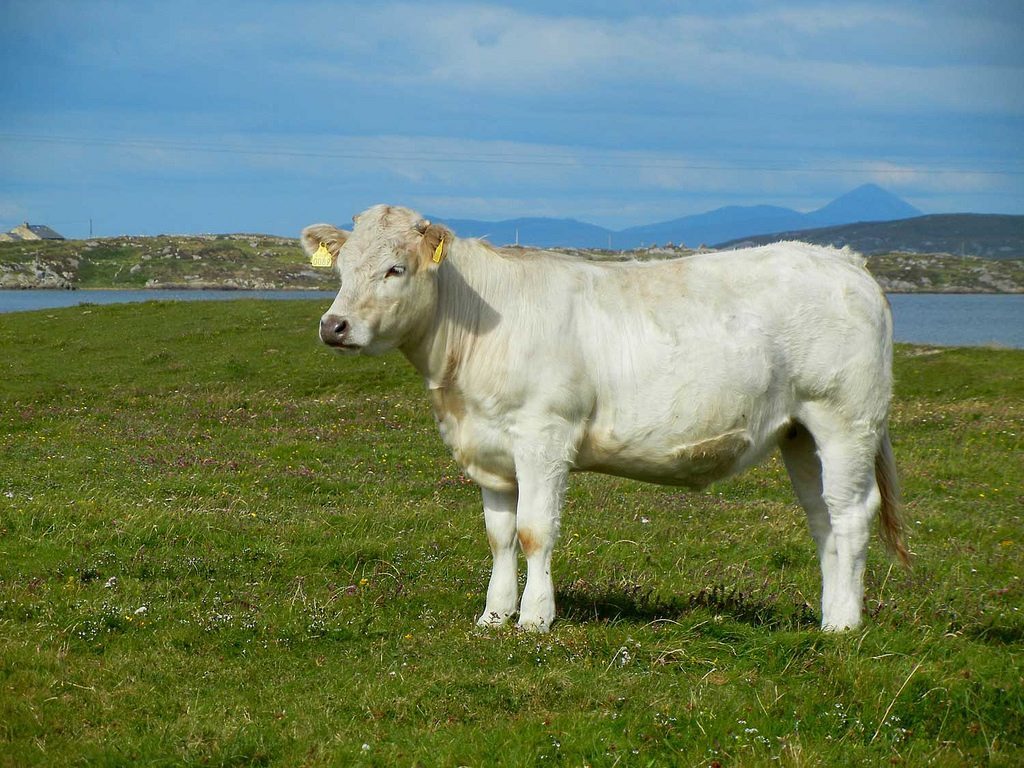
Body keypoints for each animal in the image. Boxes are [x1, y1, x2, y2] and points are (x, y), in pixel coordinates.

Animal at [299, 202, 909, 630]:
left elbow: (534, 531)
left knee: (852, 513)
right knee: (821, 515)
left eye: (395, 269)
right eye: (342, 268)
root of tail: (844, 259)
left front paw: (534, 619)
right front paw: (493, 616)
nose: (334, 326)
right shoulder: (488, 448)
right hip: (799, 433)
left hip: (845, 419)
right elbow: (499, 536)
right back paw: (828, 617)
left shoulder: (543, 434)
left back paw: (844, 625)